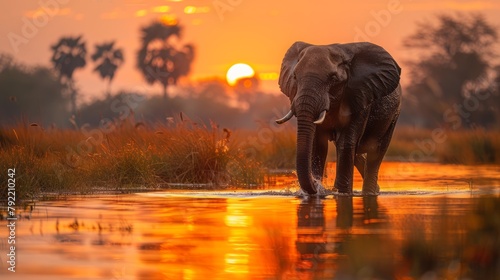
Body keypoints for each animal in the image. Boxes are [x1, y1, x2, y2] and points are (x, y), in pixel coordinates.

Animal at [276, 41, 400, 195]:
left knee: (376, 152)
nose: (316, 185)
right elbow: (318, 144)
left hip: (394, 115)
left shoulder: (359, 97)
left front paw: (341, 193)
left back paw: (371, 192)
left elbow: (345, 142)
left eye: (333, 79)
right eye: (294, 77)